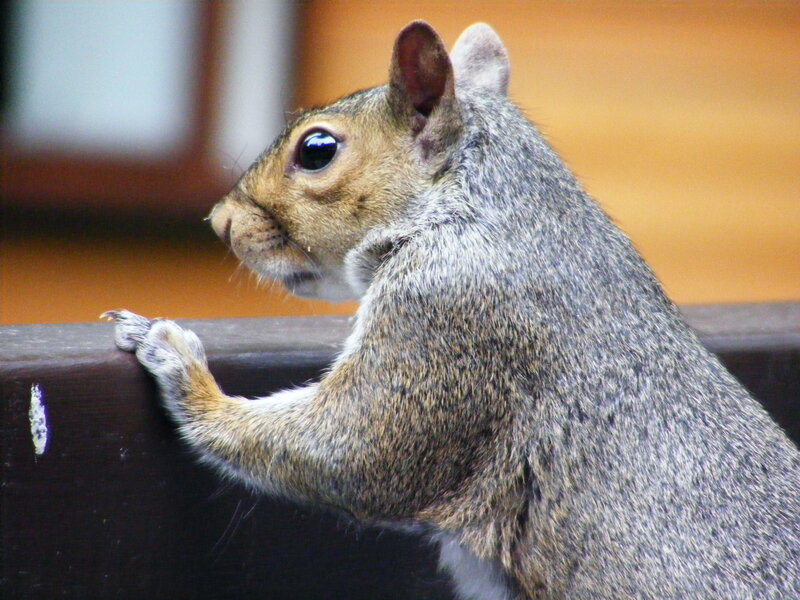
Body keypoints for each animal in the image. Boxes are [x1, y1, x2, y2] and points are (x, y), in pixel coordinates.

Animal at [105, 21, 800, 600]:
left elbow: (349, 451)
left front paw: (177, 363)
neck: (471, 208)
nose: (220, 223)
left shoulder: (449, 320)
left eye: (317, 149)